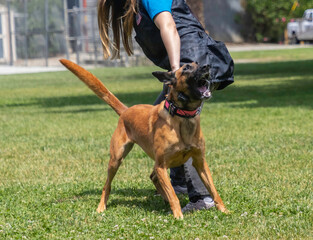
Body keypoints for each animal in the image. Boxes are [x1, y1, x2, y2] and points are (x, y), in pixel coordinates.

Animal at [59, 59, 227, 218]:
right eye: (186, 68)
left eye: (197, 63)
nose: (207, 66)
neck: (183, 116)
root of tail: (126, 111)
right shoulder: (161, 165)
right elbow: (173, 195)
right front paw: (178, 216)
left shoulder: (200, 162)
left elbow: (213, 190)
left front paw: (224, 211)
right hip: (116, 159)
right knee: (107, 185)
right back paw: (101, 207)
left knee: (153, 177)